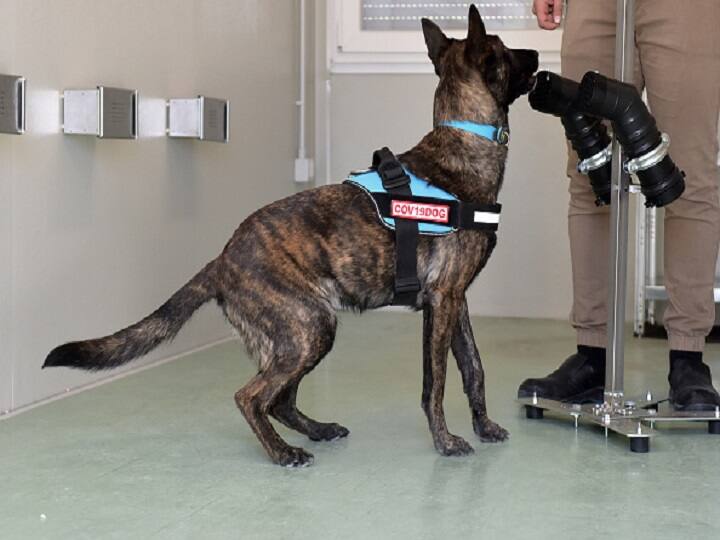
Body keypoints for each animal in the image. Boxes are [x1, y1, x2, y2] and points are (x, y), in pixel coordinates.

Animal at [43, 5, 536, 468]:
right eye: (505, 49)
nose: (535, 54)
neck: (461, 145)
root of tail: (221, 260)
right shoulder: (442, 300)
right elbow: (436, 382)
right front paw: (446, 441)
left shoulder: (455, 300)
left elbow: (473, 367)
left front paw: (484, 427)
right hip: (310, 329)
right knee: (252, 397)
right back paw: (282, 452)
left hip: (300, 336)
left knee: (280, 399)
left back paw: (315, 431)